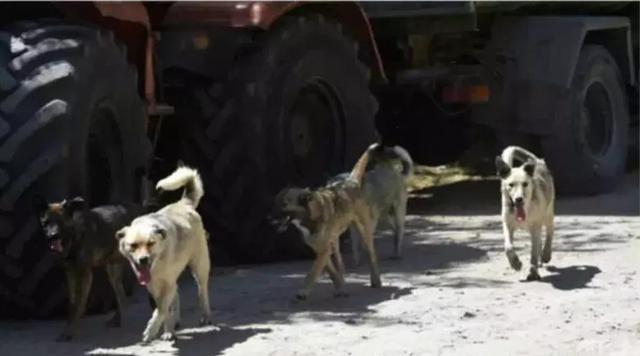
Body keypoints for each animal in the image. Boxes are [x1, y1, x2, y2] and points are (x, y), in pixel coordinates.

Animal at [38, 199, 140, 340]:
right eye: (46, 223)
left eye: (60, 221)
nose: (53, 236)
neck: (74, 235)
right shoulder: (70, 273)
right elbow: (72, 304)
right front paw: (69, 327)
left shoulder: (85, 273)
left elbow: (79, 304)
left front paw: (70, 331)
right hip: (113, 270)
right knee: (122, 297)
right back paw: (117, 320)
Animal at [116, 165, 211, 344]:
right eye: (133, 245)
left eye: (150, 243)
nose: (143, 260)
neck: (156, 266)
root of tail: (183, 204)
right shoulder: (154, 287)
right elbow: (163, 308)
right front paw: (167, 330)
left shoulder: (166, 284)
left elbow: (161, 309)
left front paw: (151, 330)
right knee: (176, 294)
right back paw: (174, 324)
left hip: (199, 267)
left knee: (202, 292)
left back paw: (206, 316)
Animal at [270, 143, 380, 298]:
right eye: (274, 203)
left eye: (284, 204)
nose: (268, 218)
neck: (310, 216)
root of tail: (350, 181)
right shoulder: (321, 249)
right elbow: (331, 271)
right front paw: (339, 286)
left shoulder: (324, 249)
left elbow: (312, 272)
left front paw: (303, 292)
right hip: (335, 241)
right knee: (340, 262)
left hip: (364, 231)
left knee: (372, 255)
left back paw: (376, 280)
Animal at [496, 146, 556, 282]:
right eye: (511, 185)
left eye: (525, 184)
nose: (519, 199)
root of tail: (538, 161)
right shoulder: (507, 225)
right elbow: (508, 247)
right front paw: (515, 263)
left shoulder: (535, 227)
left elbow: (533, 252)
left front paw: (533, 272)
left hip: (548, 214)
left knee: (549, 232)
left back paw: (546, 254)